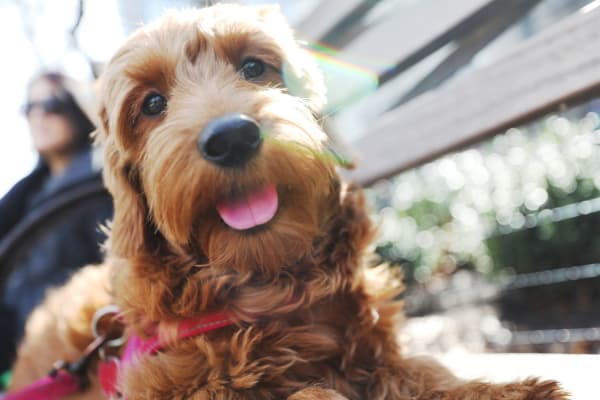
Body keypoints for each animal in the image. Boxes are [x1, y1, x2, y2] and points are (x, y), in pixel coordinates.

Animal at [10, 3, 572, 400]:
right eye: (151, 104)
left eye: (253, 67)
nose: (231, 137)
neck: (268, 286)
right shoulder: (170, 385)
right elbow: (310, 393)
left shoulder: (373, 352)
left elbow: (424, 372)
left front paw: (508, 391)